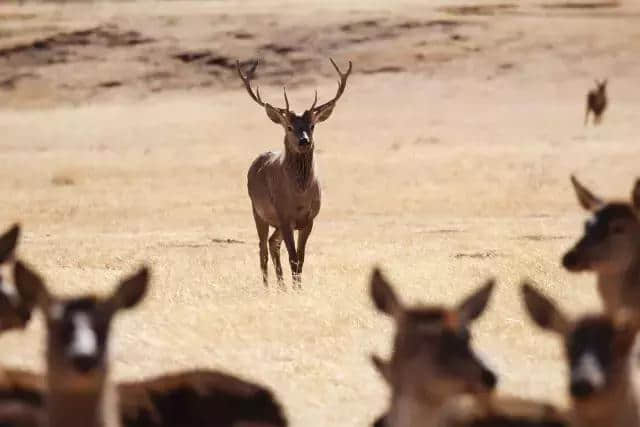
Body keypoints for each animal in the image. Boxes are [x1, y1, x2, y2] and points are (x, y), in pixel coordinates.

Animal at [236, 58, 352, 290]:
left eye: (312, 125)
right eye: (289, 127)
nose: (304, 141)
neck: (299, 195)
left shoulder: (308, 219)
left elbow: (301, 258)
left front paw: (297, 287)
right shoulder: (284, 215)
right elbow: (293, 257)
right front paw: (296, 290)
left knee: (273, 243)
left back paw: (281, 286)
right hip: (257, 211)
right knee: (262, 248)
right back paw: (267, 288)